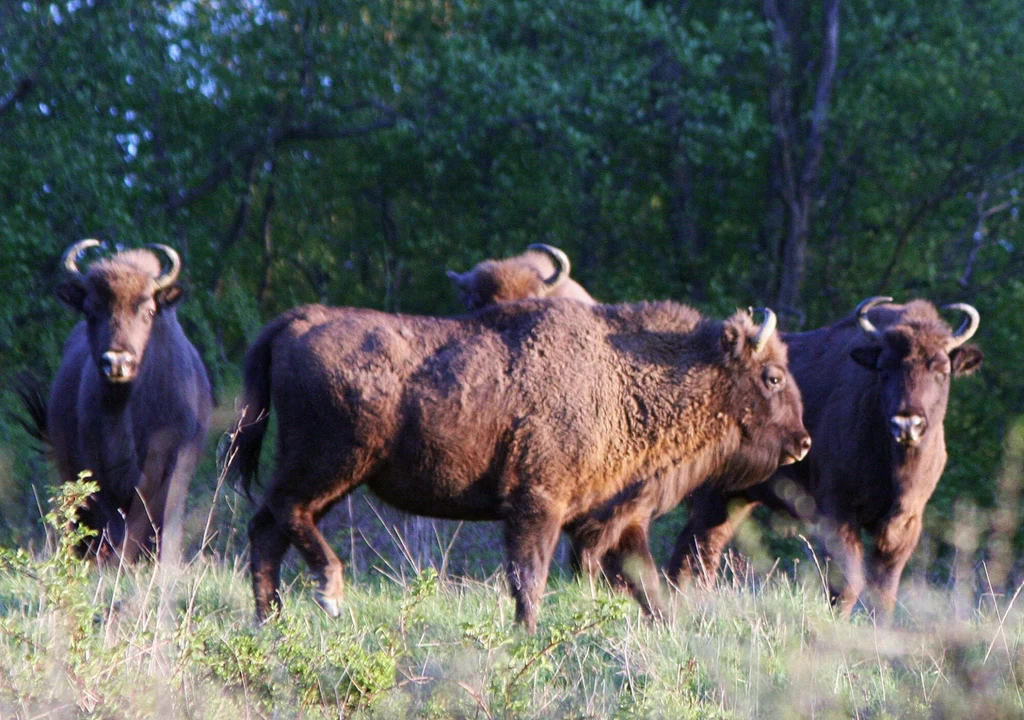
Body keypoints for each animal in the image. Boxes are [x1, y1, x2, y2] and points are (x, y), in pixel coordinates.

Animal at [228, 299, 811, 630]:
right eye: (772, 377)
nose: (803, 443)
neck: (621, 378)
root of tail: (301, 319)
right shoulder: (537, 507)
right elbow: (529, 581)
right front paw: (526, 638)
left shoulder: (614, 517)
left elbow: (649, 587)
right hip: (333, 463)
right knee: (283, 512)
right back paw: (328, 592)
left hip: (329, 474)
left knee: (268, 530)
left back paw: (270, 623)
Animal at [671, 294, 983, 618]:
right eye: (883, 369)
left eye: (942, 370)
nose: (907, 423)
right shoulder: (837, 511)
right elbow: (847, 582)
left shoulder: (905, 521)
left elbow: (884, 588)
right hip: (712, 496)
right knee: (697, 551)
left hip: (734, 499)